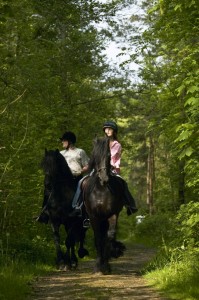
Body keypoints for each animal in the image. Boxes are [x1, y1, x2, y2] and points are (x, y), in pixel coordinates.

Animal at [83, 137, 125, 276]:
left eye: (108, 156)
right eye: (95, 156)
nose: (104, 178)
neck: (101, 189)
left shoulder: (112, 214)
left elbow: (109, 236)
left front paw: (106, 265)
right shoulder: (94, 216)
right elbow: (98, 239)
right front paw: (98, 267)